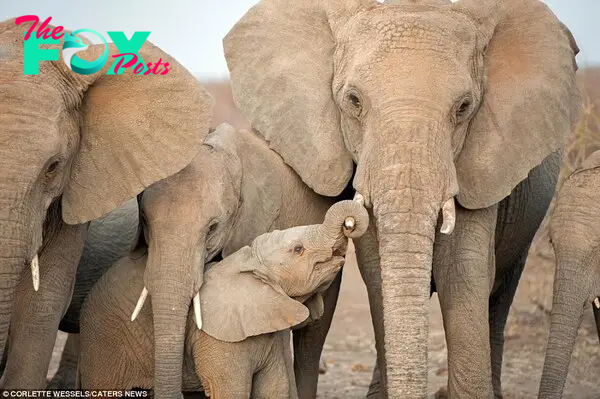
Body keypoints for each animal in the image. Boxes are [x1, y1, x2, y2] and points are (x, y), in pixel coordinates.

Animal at [77, 202, 368, 398]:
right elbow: (232, 391)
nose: (349, 224)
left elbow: (274, 388)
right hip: (103, 340)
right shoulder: (218, 340)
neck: (247, 262)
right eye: (298, 250)